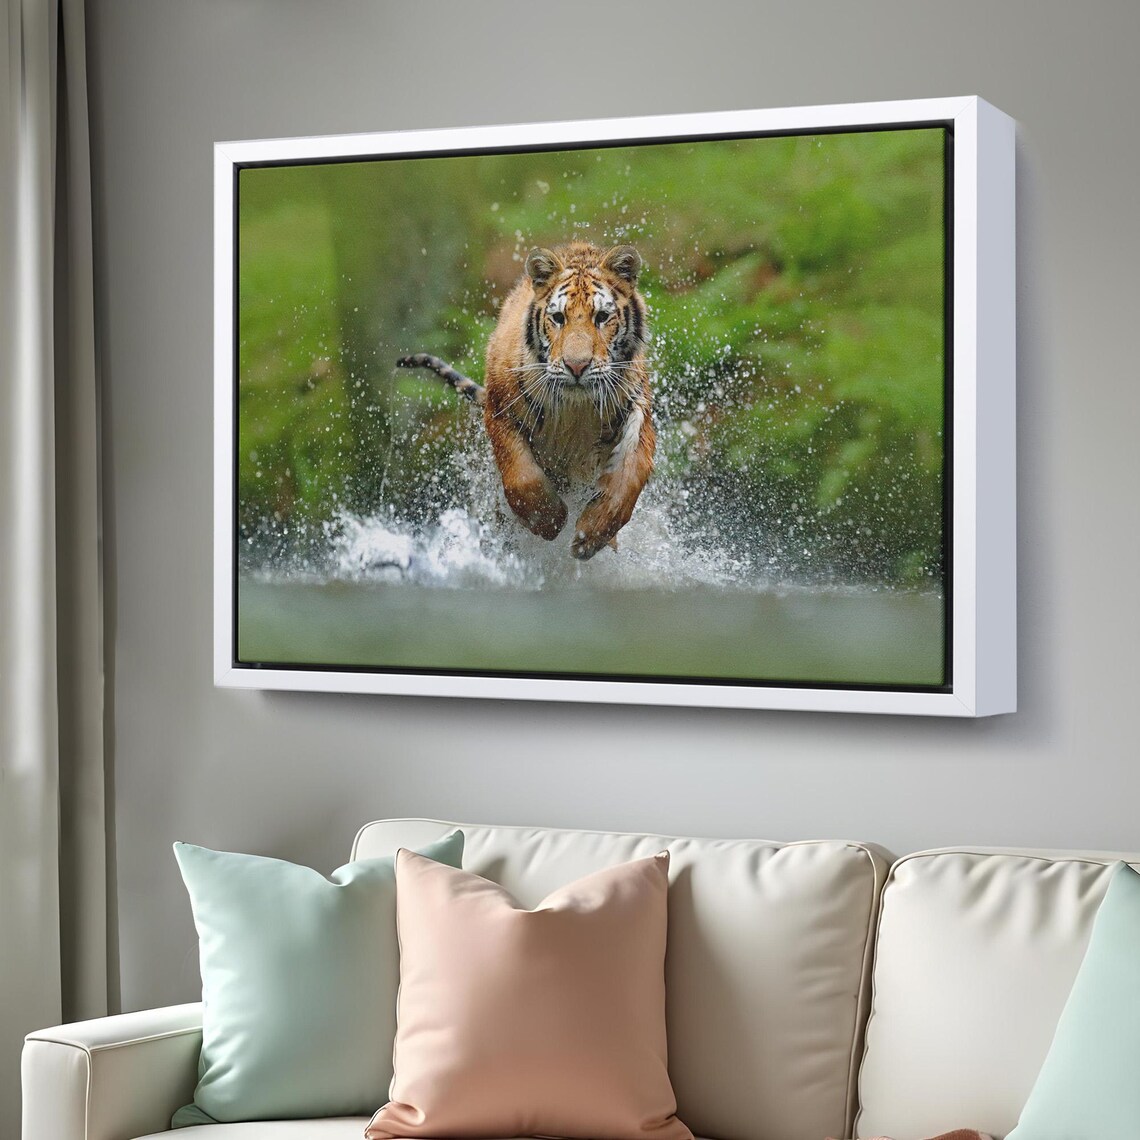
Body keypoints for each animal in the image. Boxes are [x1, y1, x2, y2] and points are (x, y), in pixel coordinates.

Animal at [398, 240, 654, 560]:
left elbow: (629, 476)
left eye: (602, 317)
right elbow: (522, 476)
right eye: (558, 318)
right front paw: (549, 521)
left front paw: (591, 536)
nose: (577, 366)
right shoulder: (500, 410)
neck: (577, 407)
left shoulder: (637, 408)